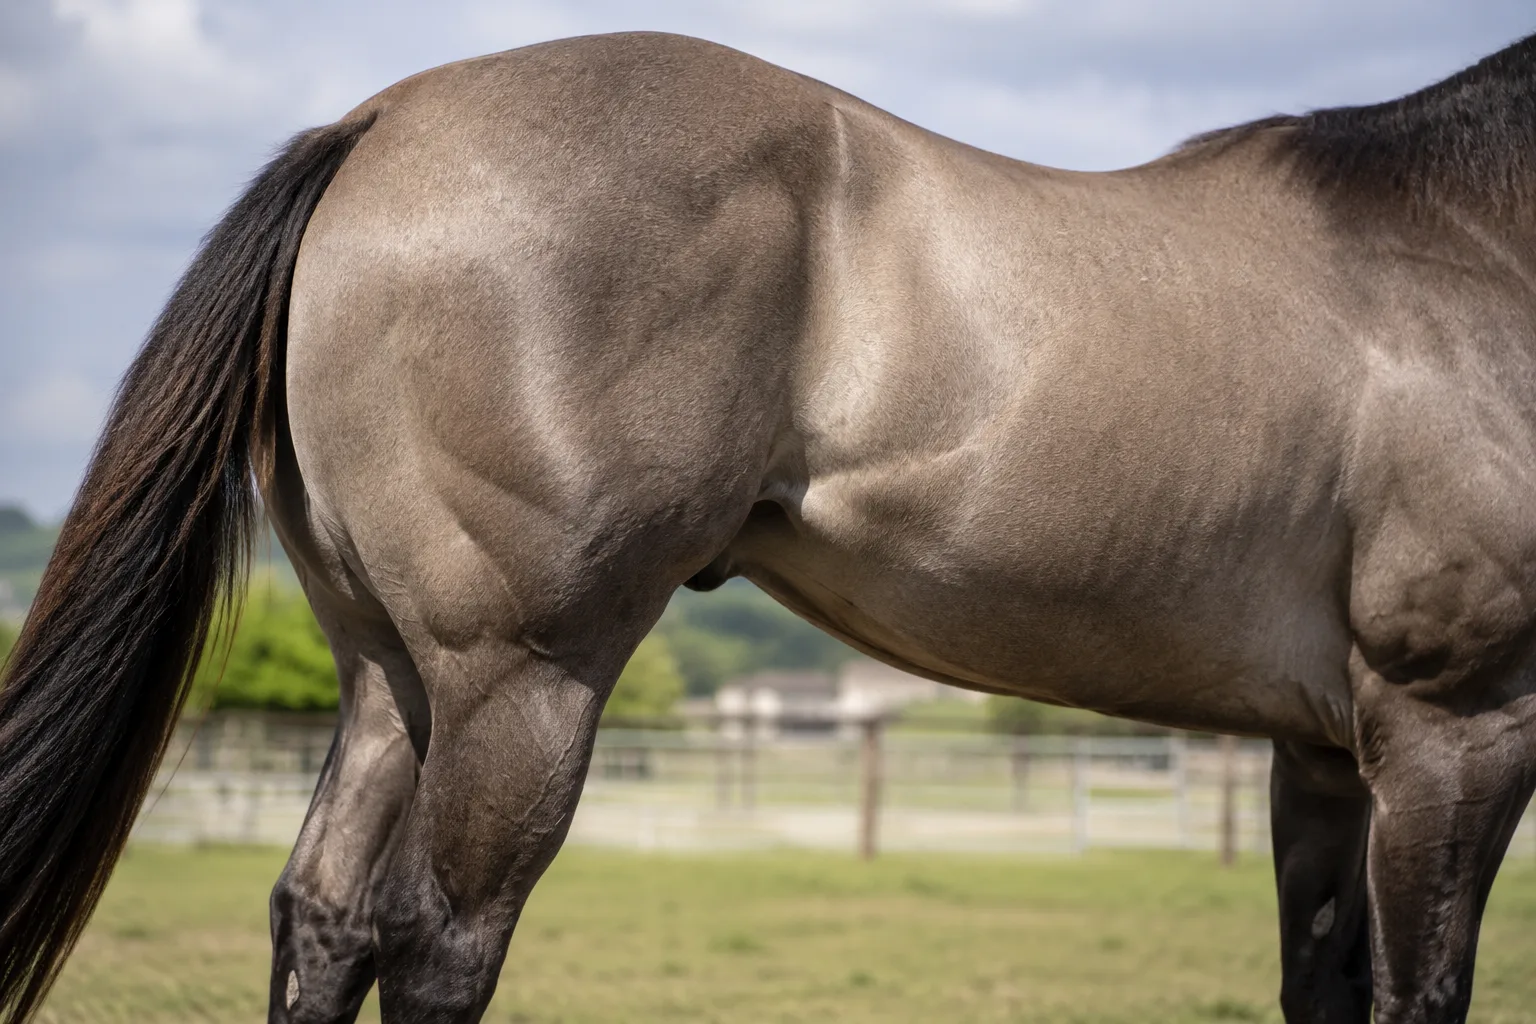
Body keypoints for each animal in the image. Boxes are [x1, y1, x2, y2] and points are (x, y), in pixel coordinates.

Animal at [4, 27, 1536, 1024]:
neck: (1472, 245)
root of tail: (378, 123)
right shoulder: (1455, 730)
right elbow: (1422, 992)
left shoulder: (1325, 754)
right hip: (522, 683)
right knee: (439, 947)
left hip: (389, 678)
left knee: (322, 920)